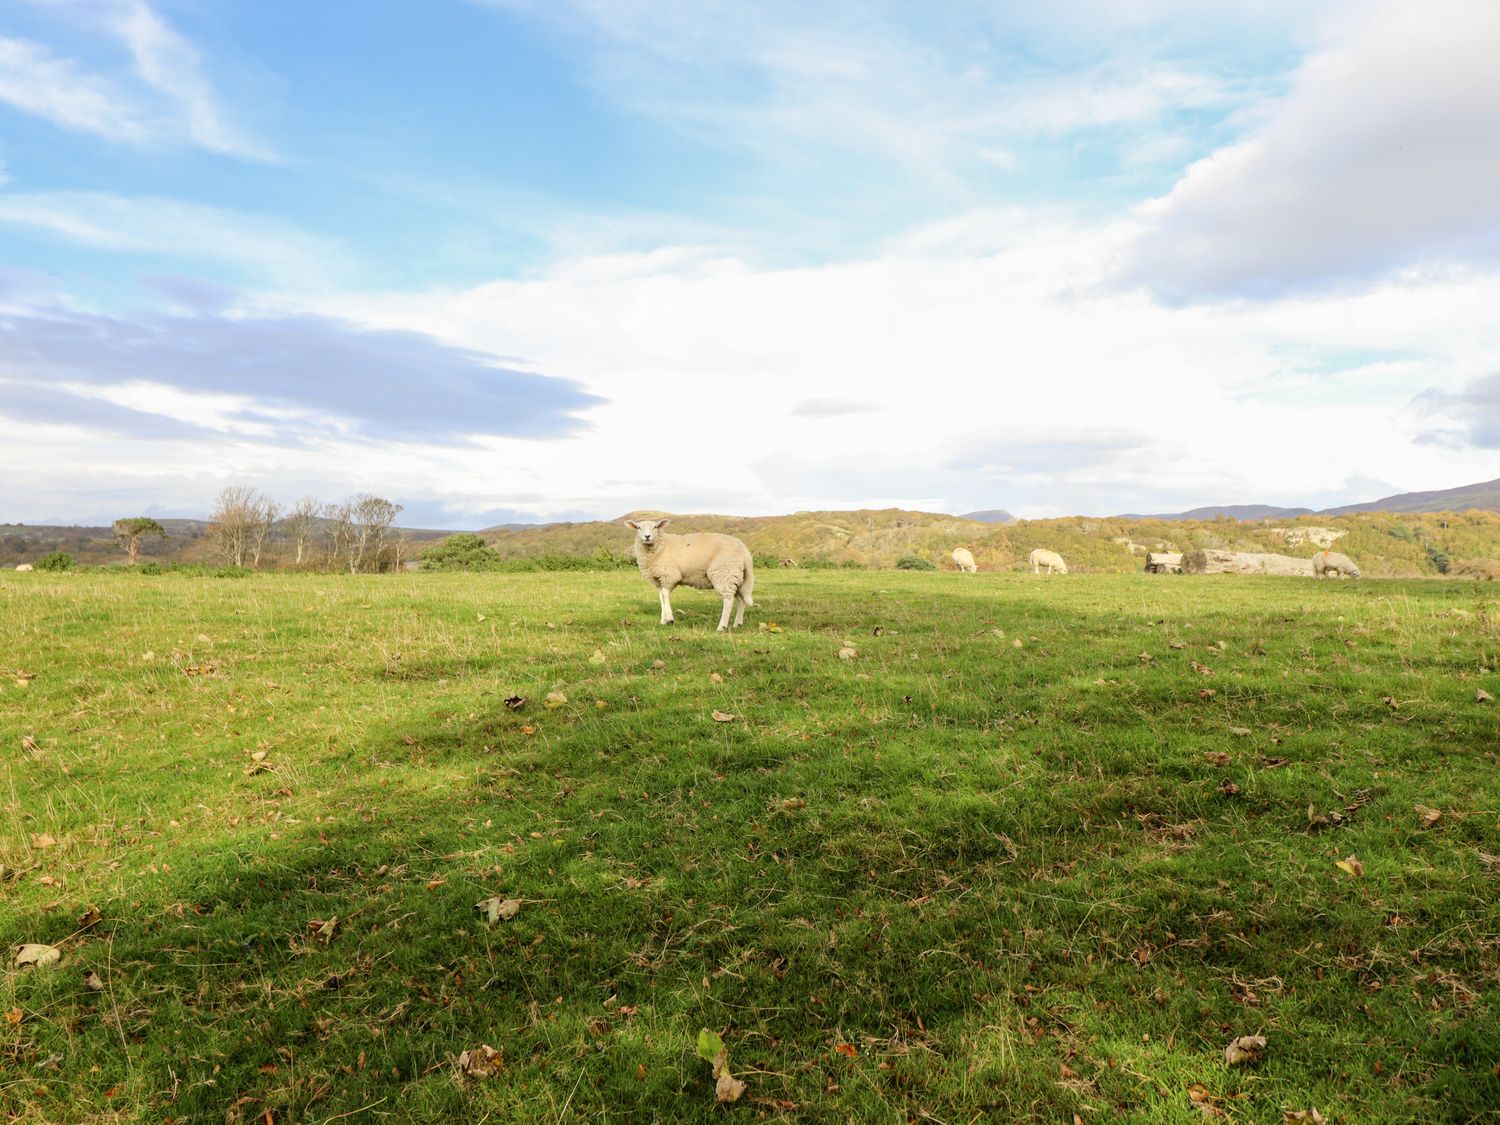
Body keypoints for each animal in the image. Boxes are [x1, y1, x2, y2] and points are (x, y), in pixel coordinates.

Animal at [624, 522, 756, 636]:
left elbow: (665, 595)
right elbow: (661, 597)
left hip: (724, 573)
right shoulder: (658, 580)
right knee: (741, 600)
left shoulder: (670, 575)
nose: (647, 536)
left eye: (655, 527)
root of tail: (745, 552)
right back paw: (737, 623)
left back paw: (721, 626)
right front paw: (663, 620)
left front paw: (670, 619)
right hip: (737, 577)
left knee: (728, 600)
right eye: (638, 527)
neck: (661, 546)